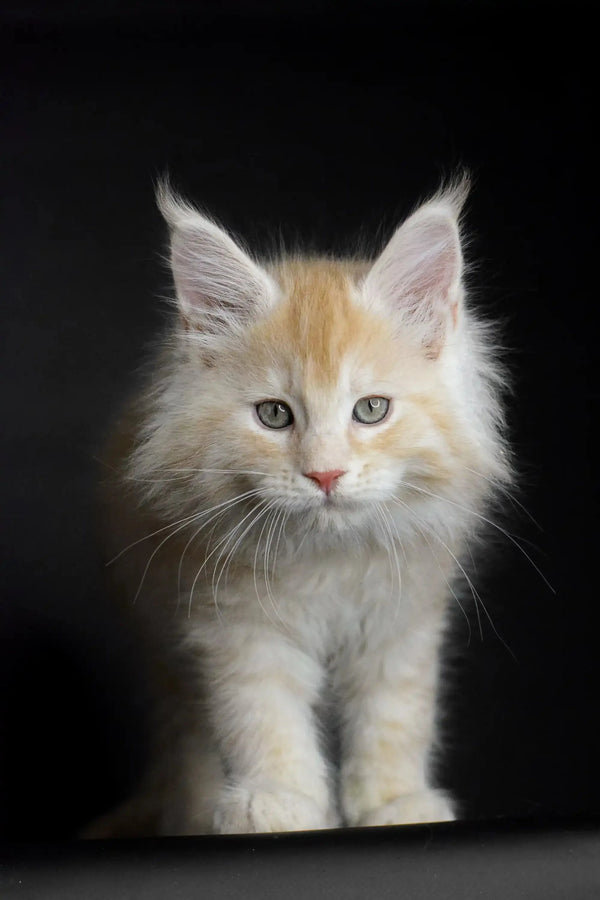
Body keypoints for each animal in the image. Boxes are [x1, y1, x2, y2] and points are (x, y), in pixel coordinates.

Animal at [88, 176, 510, 836]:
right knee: (187, 735)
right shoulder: (234, 623)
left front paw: (395, 802)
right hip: (165, 643)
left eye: (371, 410)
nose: (325, 473)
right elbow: (264, 718)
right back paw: (201, 812)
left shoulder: (403, 620)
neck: (328, 558)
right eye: (274, 415)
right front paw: (279, 799)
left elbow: (396, 717)